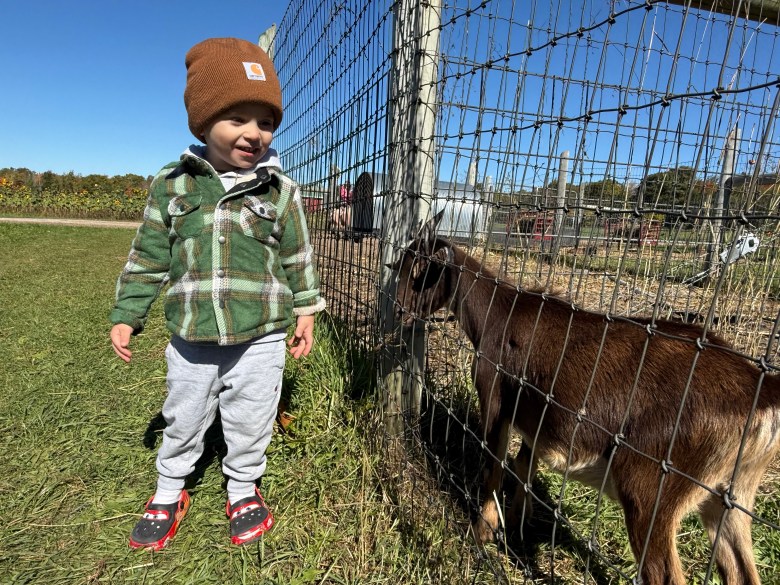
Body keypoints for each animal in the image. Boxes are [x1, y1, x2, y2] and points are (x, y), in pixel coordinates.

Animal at [388, 211, 780, 585]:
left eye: (420, 271)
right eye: (400, 265)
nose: (398, 311)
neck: (499, 312)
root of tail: (761, 392)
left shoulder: (495, 397)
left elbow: (493, 466)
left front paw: (481, 534)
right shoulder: (535, 416)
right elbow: (524, 465)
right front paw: (515, 525)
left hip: (651, 489)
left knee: (662, 571)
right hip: (729, 495)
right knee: (740, 568)